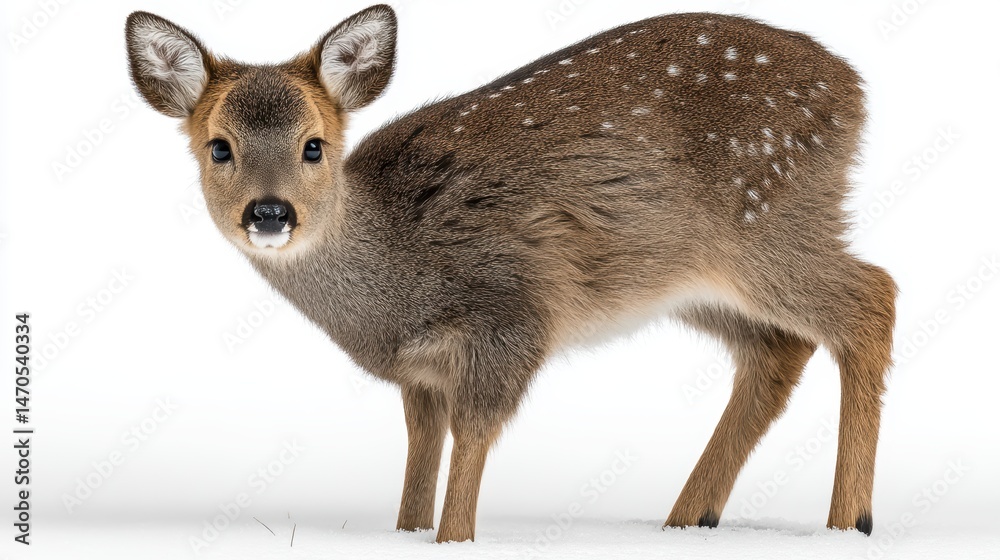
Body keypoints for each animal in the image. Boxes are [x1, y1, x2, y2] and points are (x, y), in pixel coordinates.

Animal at [125, 5, 896, 543]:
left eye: (314, 145)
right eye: (218, 147)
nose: (269, 212)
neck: (394, 288)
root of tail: (855, 88)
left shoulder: (511, 318)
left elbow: (472, 445)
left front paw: (454, 538)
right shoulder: (420, 374)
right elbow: (420, 458)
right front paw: (407, 532)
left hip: (767, 225)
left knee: (873, 296)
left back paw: (848, 521)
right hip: (686, 278)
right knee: (779, 347)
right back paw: (688, 518)